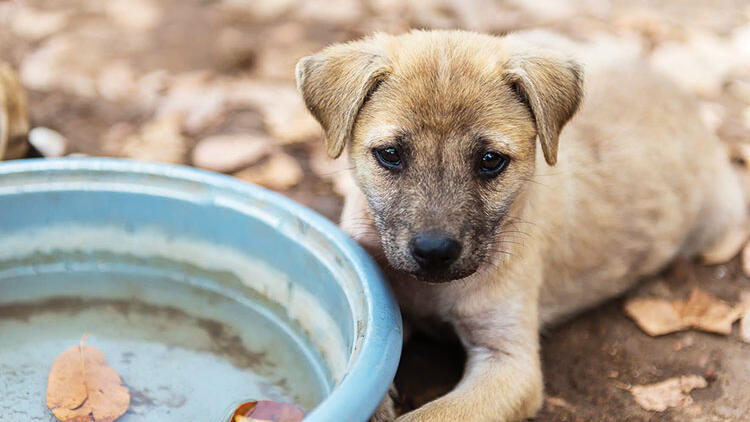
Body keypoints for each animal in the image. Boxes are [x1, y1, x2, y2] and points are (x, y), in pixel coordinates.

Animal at [296, 30, 748, 422]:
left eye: (491, 161)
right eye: (390, 154)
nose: (434, 252)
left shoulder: (510, 364)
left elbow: (431, 415)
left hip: (719, 222)